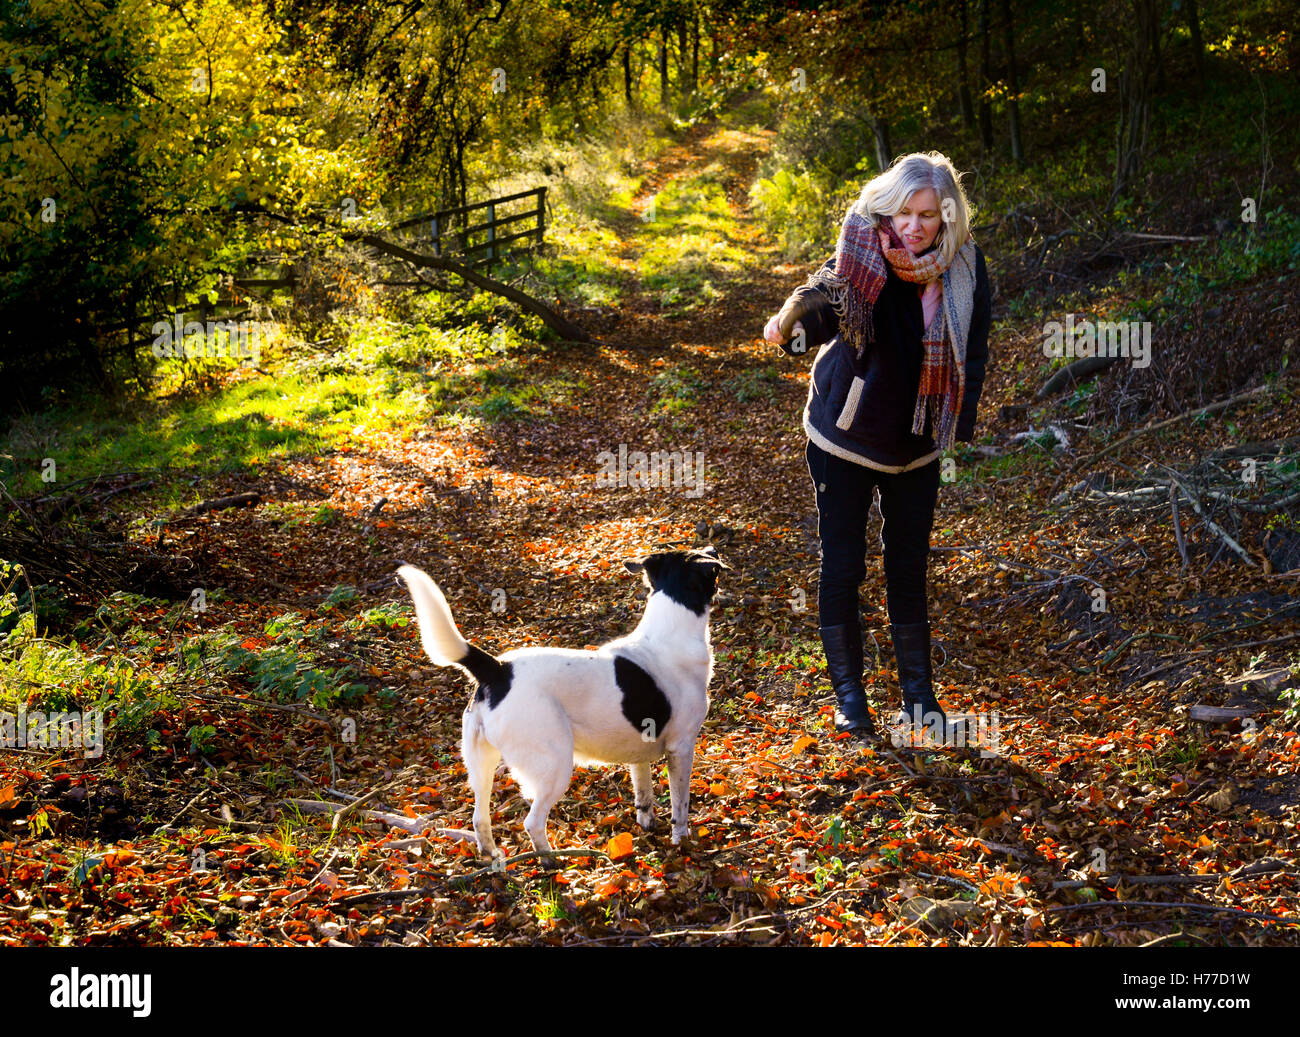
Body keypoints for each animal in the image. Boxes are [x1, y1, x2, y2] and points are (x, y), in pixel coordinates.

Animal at [395, 543, 728, 862]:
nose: (714, 549)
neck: (667, 631)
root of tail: (498, 669)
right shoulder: (681, 748)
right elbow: (680, 806)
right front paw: (681, 842)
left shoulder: (641, 752)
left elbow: (643, 796)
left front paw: (648, 826)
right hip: (555, 765)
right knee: (532, 822)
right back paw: (550, 860)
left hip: (480, 764)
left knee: (479, 817)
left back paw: (491, 855)